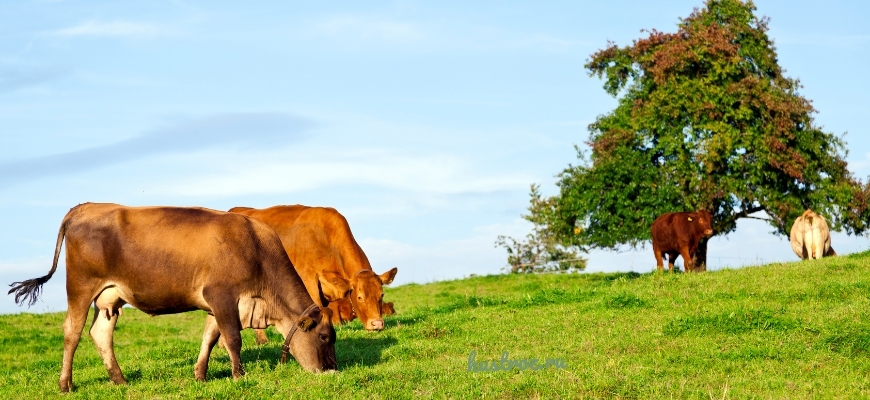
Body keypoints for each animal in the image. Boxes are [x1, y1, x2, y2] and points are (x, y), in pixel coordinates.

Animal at [8, 205, 338, 392]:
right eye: (324, 336)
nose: (333, 369)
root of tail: (84, 206)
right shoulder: (222, 295)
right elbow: (232, 338)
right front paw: (239, 375)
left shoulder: (214, 304)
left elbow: (209, 338)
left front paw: (201, 376)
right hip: (80, 286)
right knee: (72, 332)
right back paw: (65, 385)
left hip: (109, 297)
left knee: (100, 333)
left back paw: (119, 380)